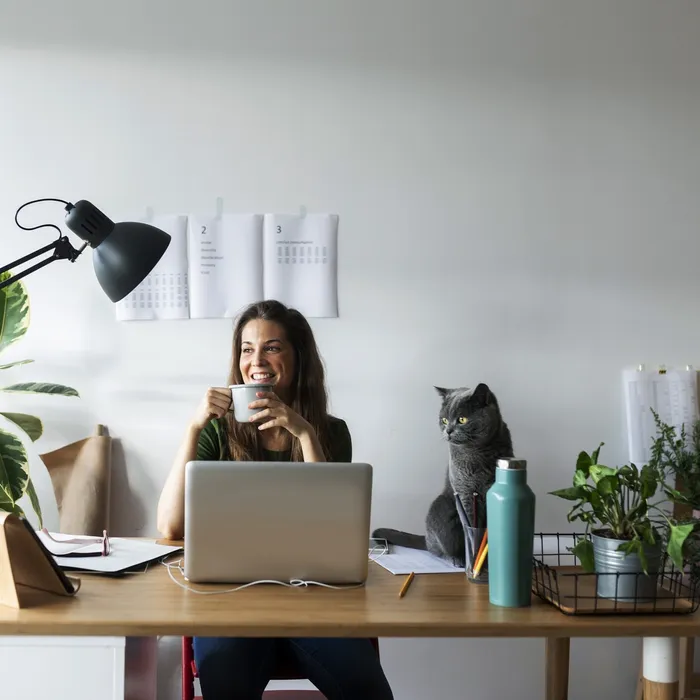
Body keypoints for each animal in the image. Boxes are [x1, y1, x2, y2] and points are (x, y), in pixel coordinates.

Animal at [372, 380, 516, 568]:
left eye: (462, 419)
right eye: (444, 420)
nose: (448, 430)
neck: (478, 452)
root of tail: (426, 538)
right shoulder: (464, 491)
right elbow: (472, 526)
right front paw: (476, 560)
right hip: (441, 507)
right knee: (438, 549)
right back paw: (457, 559)